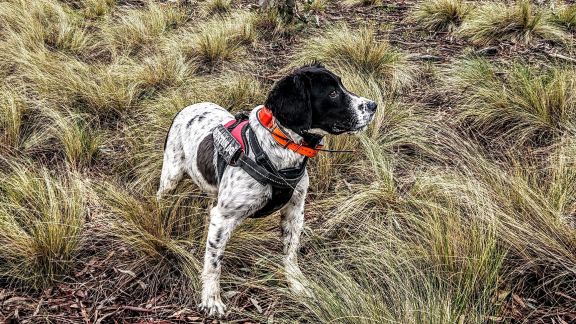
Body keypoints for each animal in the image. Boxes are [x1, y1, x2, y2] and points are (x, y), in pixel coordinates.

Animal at [156, 62, 378, 316]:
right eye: (332, 93)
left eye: (342, 85)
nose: (373, 105)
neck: (279, 148)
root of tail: (189, 106)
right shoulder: (224, 217)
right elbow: (213, 262)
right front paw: (211, 299)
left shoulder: (294, 210)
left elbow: (290, 253)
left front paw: (297, 285)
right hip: (171, 176)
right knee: (161, 197)